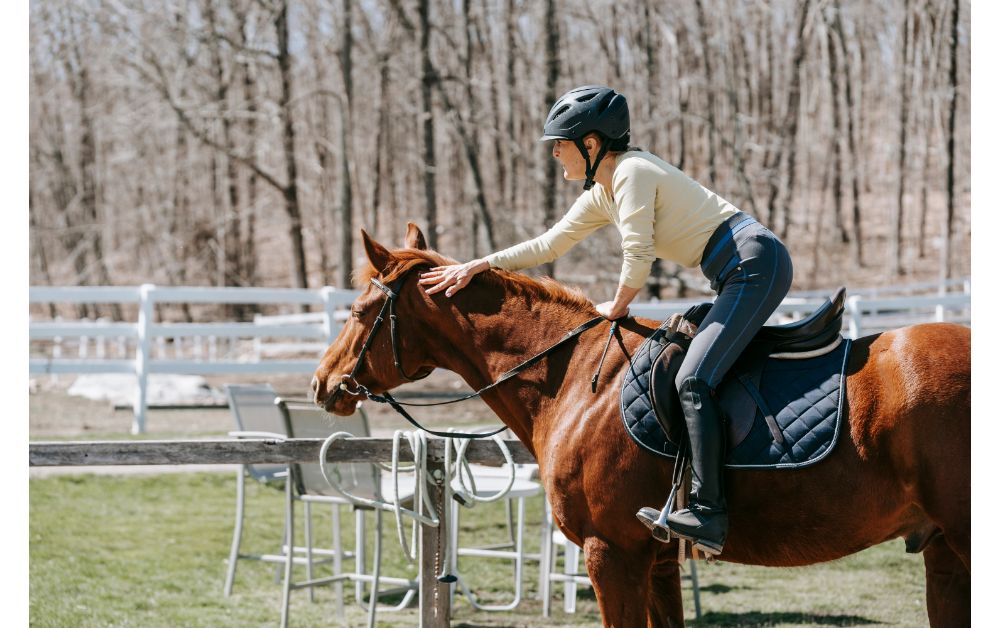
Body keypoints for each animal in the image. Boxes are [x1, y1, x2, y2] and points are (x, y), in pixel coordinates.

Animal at [312, 223, 968, 624]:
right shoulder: (657, 561)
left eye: (360, 311)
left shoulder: (612, 554)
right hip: (943, 552)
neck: (576, 378)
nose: (322, 384)